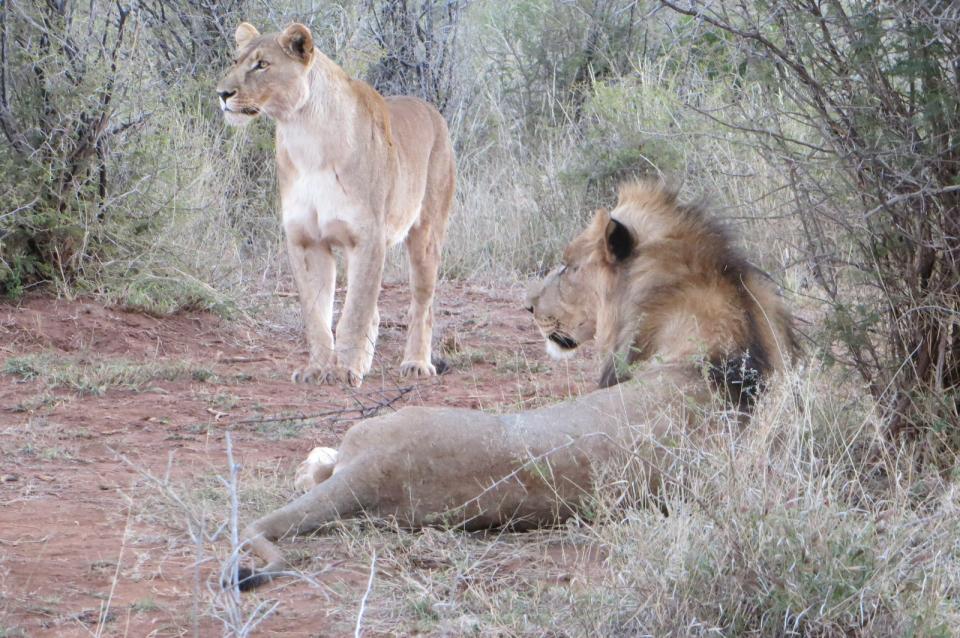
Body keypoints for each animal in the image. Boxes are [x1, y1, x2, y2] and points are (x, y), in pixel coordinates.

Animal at [216, 22, 456, 388]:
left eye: (262, 65)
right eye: (235, 60)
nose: (222, 93)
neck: (304, 136)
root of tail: (431, 110)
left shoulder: (367, 238)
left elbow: (354, 313)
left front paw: (344, 371)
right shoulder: (306, 241)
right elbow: (317, 315)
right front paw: (317, 369)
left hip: (426, 234)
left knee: (422, 304)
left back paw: (416, 363)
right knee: (375, 309)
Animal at [229, 178, 800, 592]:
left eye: (567, 267)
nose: (527, 306)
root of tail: (367, 474)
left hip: (377, 431)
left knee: (322, 467)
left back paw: (314, 462)